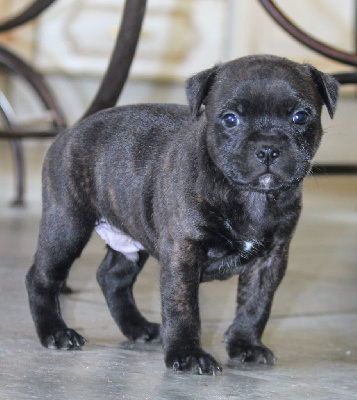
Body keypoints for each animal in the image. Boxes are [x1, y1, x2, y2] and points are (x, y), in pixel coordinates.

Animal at [26, 55, 338, 376]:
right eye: (230, 119)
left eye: (300, 117)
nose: (267, 148)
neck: (252, 196)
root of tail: (70, 130)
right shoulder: (183, 251)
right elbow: (183, 306)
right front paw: (188, 354)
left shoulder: (270, 259)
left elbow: (257, 303)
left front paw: (246, 344)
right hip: (67, 225)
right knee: (42, 276)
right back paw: (55, 332)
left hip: (130, 237)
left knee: (112, 277)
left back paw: (138, 328)